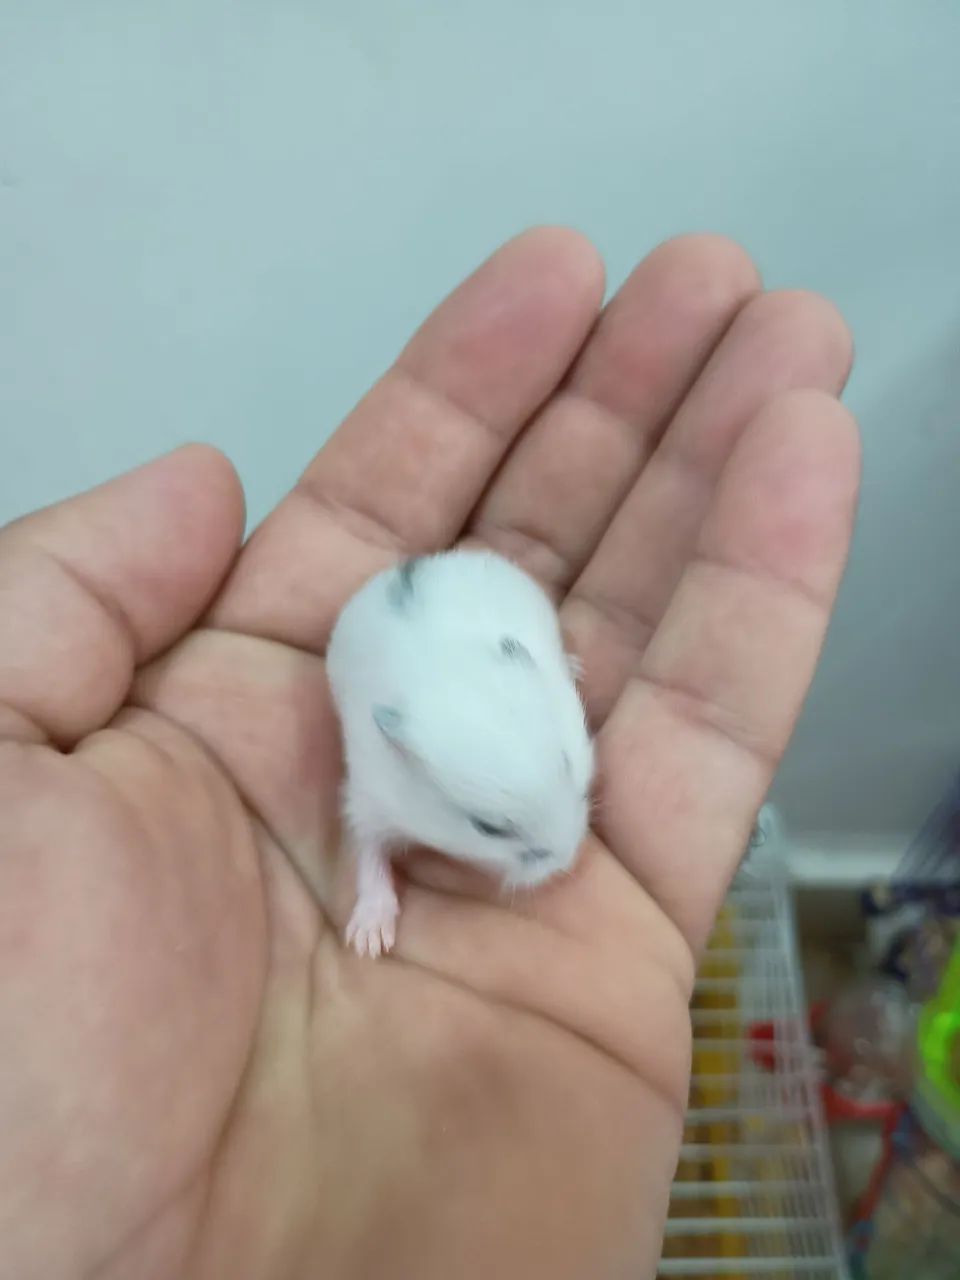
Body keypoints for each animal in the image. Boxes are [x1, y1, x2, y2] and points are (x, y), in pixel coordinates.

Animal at [326, 548, 595, 957]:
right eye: (488, 828)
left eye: (568, 765)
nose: (568, 860)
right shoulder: (369, 800)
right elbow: (370, 853)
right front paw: (369, 944)